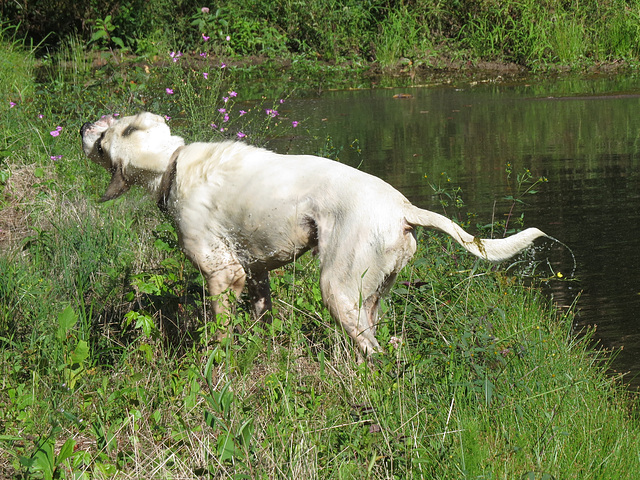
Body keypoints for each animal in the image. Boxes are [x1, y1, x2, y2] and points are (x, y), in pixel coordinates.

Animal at [82, 111, 548, 352]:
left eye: (104, 134)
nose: (83, 123)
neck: (172, 164)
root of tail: (404, 209)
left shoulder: (222, 272)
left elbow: (220, 330)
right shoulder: (256, 271)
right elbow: (261, 312)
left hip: (336, 289)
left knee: (373, 355)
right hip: (369, 295)